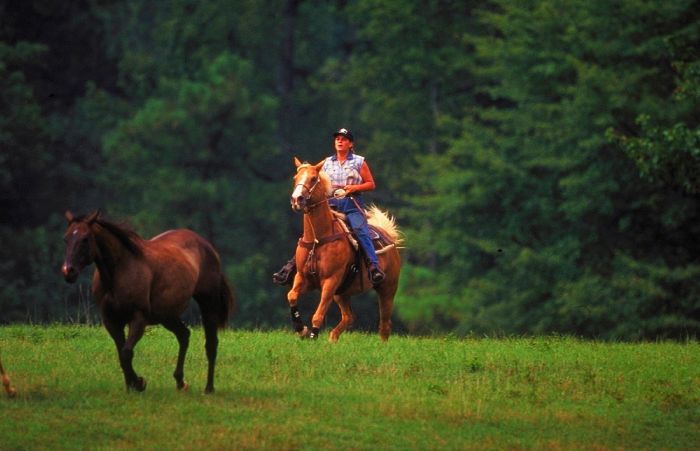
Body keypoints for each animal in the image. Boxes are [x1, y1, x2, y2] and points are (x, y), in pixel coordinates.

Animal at [62, 212, 235, 392]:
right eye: (66, 239)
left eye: (85, 238)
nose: (68, 271)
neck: (121, 271)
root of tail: (207, 246)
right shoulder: (111, 320)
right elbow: (121, 353)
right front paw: (131, 385)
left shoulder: (139, 317)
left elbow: (126, 352)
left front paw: (139, 383)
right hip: (167, 315)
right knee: (184, 335)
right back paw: (180, 382)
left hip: (208, 303)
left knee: (211, 344)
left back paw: (209, 388)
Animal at [288, 159, 402, 342]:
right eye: (295, 177)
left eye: (313, 179)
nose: (296, 199)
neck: (317, 240)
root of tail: (388, 235)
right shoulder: (303, 277)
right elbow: (291, 295)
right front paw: (301, 329)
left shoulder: (330, 281)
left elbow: (318, 314)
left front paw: (313, 335)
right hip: (342, 293)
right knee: (349, 317)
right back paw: (332, 339)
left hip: (388, 288)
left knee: (385, 324)